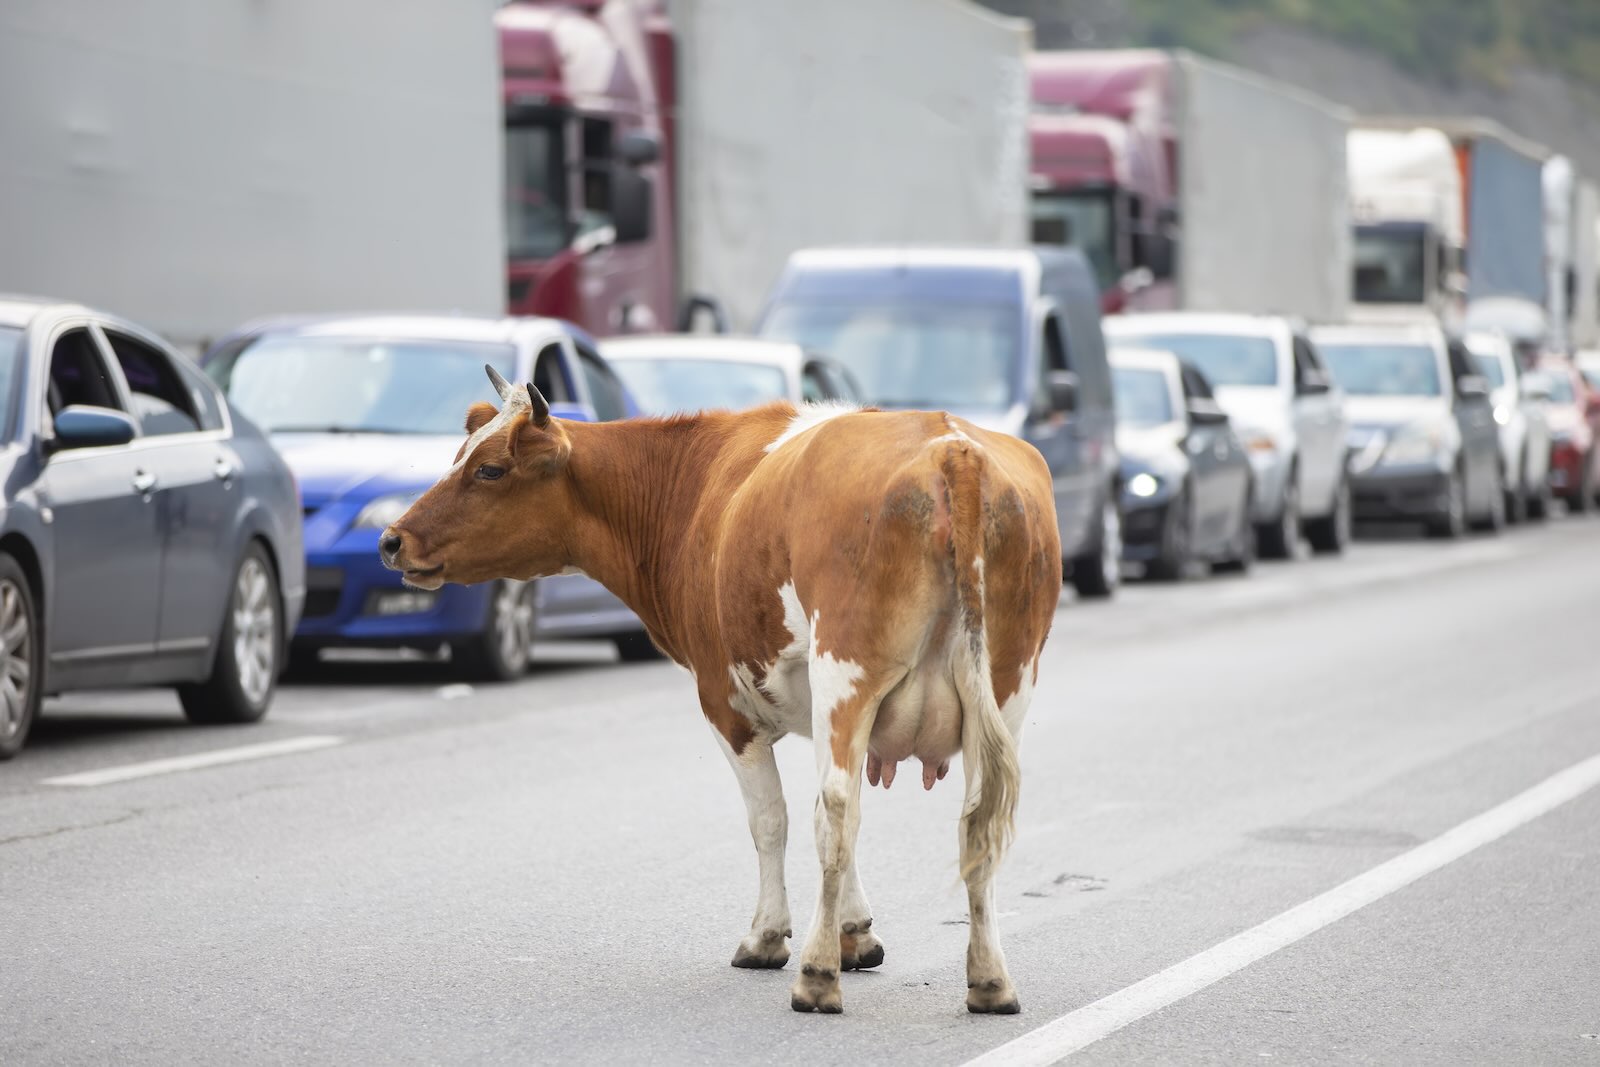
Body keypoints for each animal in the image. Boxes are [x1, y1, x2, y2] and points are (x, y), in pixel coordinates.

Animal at [379, 366, 1061, 1015]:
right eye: (459, 455)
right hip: (1005, 687)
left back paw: (817, 979)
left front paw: (771, 937)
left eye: (490, 469)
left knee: (838, 810)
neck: (694, 486)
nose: (391, 539)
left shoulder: (724, 703)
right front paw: (856, 932)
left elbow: (772, 819)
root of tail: (950, 446)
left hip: (847, 673)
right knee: (975, 820)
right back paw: (990, 981)